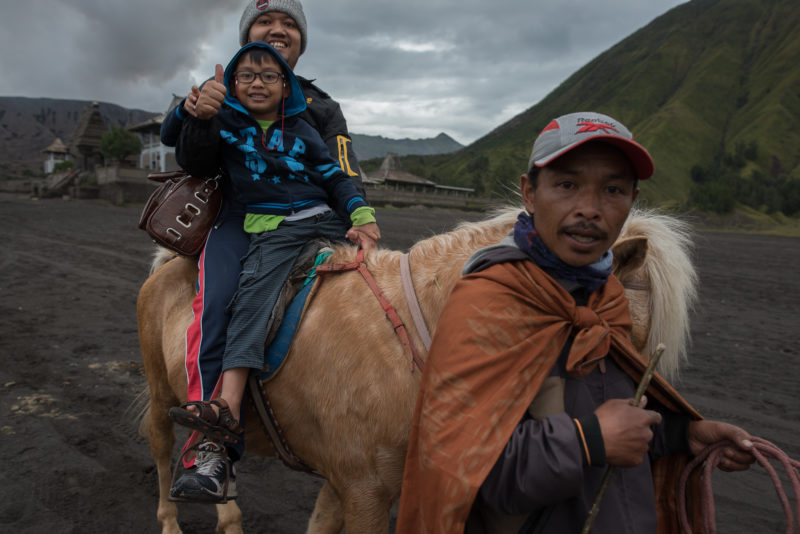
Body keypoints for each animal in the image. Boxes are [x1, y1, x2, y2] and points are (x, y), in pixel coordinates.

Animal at [139, 208, 700, 534]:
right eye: (618, 336)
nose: (646, 433)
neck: (411, 336)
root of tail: (172, 261)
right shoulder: (366, 492)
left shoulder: (348, 484)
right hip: (161, 392)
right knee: (165, 452)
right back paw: (169, 521)